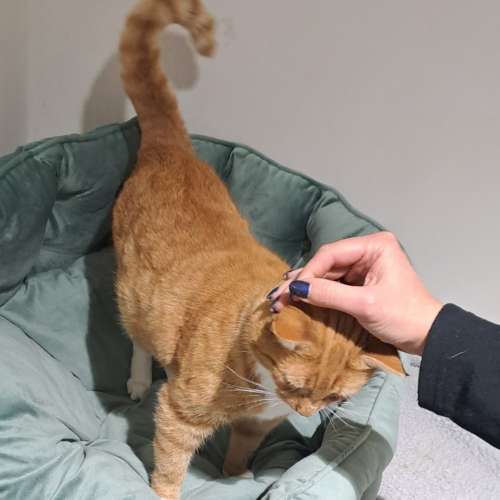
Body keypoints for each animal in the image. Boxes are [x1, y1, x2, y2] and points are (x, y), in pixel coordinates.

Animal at [111, 0, 404, 500]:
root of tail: (173, 152)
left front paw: (236, 476)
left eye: (334, 398)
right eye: (294, 385)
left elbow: (241, 450)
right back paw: (137, 377)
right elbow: (170, 466)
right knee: (137, 341)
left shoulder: (258, 425)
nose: (305, 415)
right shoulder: (179, 415)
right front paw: (166, 491)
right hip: (135, 300)